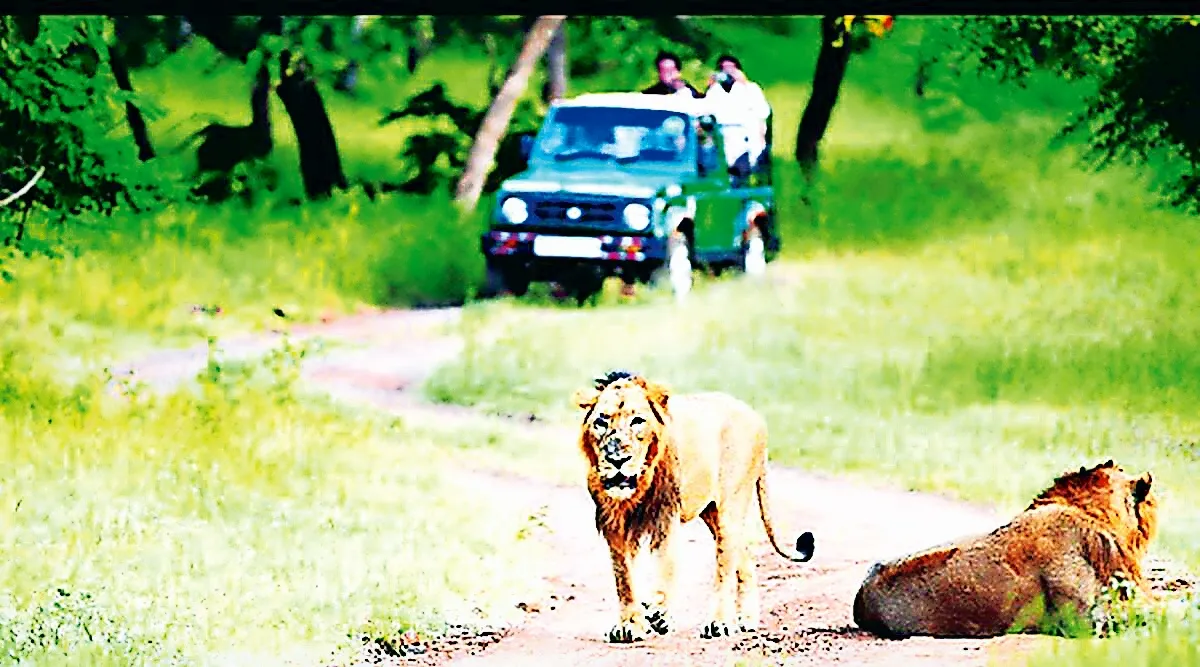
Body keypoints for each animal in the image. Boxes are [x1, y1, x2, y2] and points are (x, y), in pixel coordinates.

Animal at [568, 371, 816, 643]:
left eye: (638, 421)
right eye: (601, 422)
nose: (617, 460)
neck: (639, 485)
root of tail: (754, 415)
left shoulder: (665, 513)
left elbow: (666, 562)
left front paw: (659, 613)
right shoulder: (613, 523)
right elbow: (623, 576)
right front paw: (630, 625)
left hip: (730, 509)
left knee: (725, 567)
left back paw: (719, 623)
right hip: (712, 513)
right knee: (744, 558)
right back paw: (747, 619)